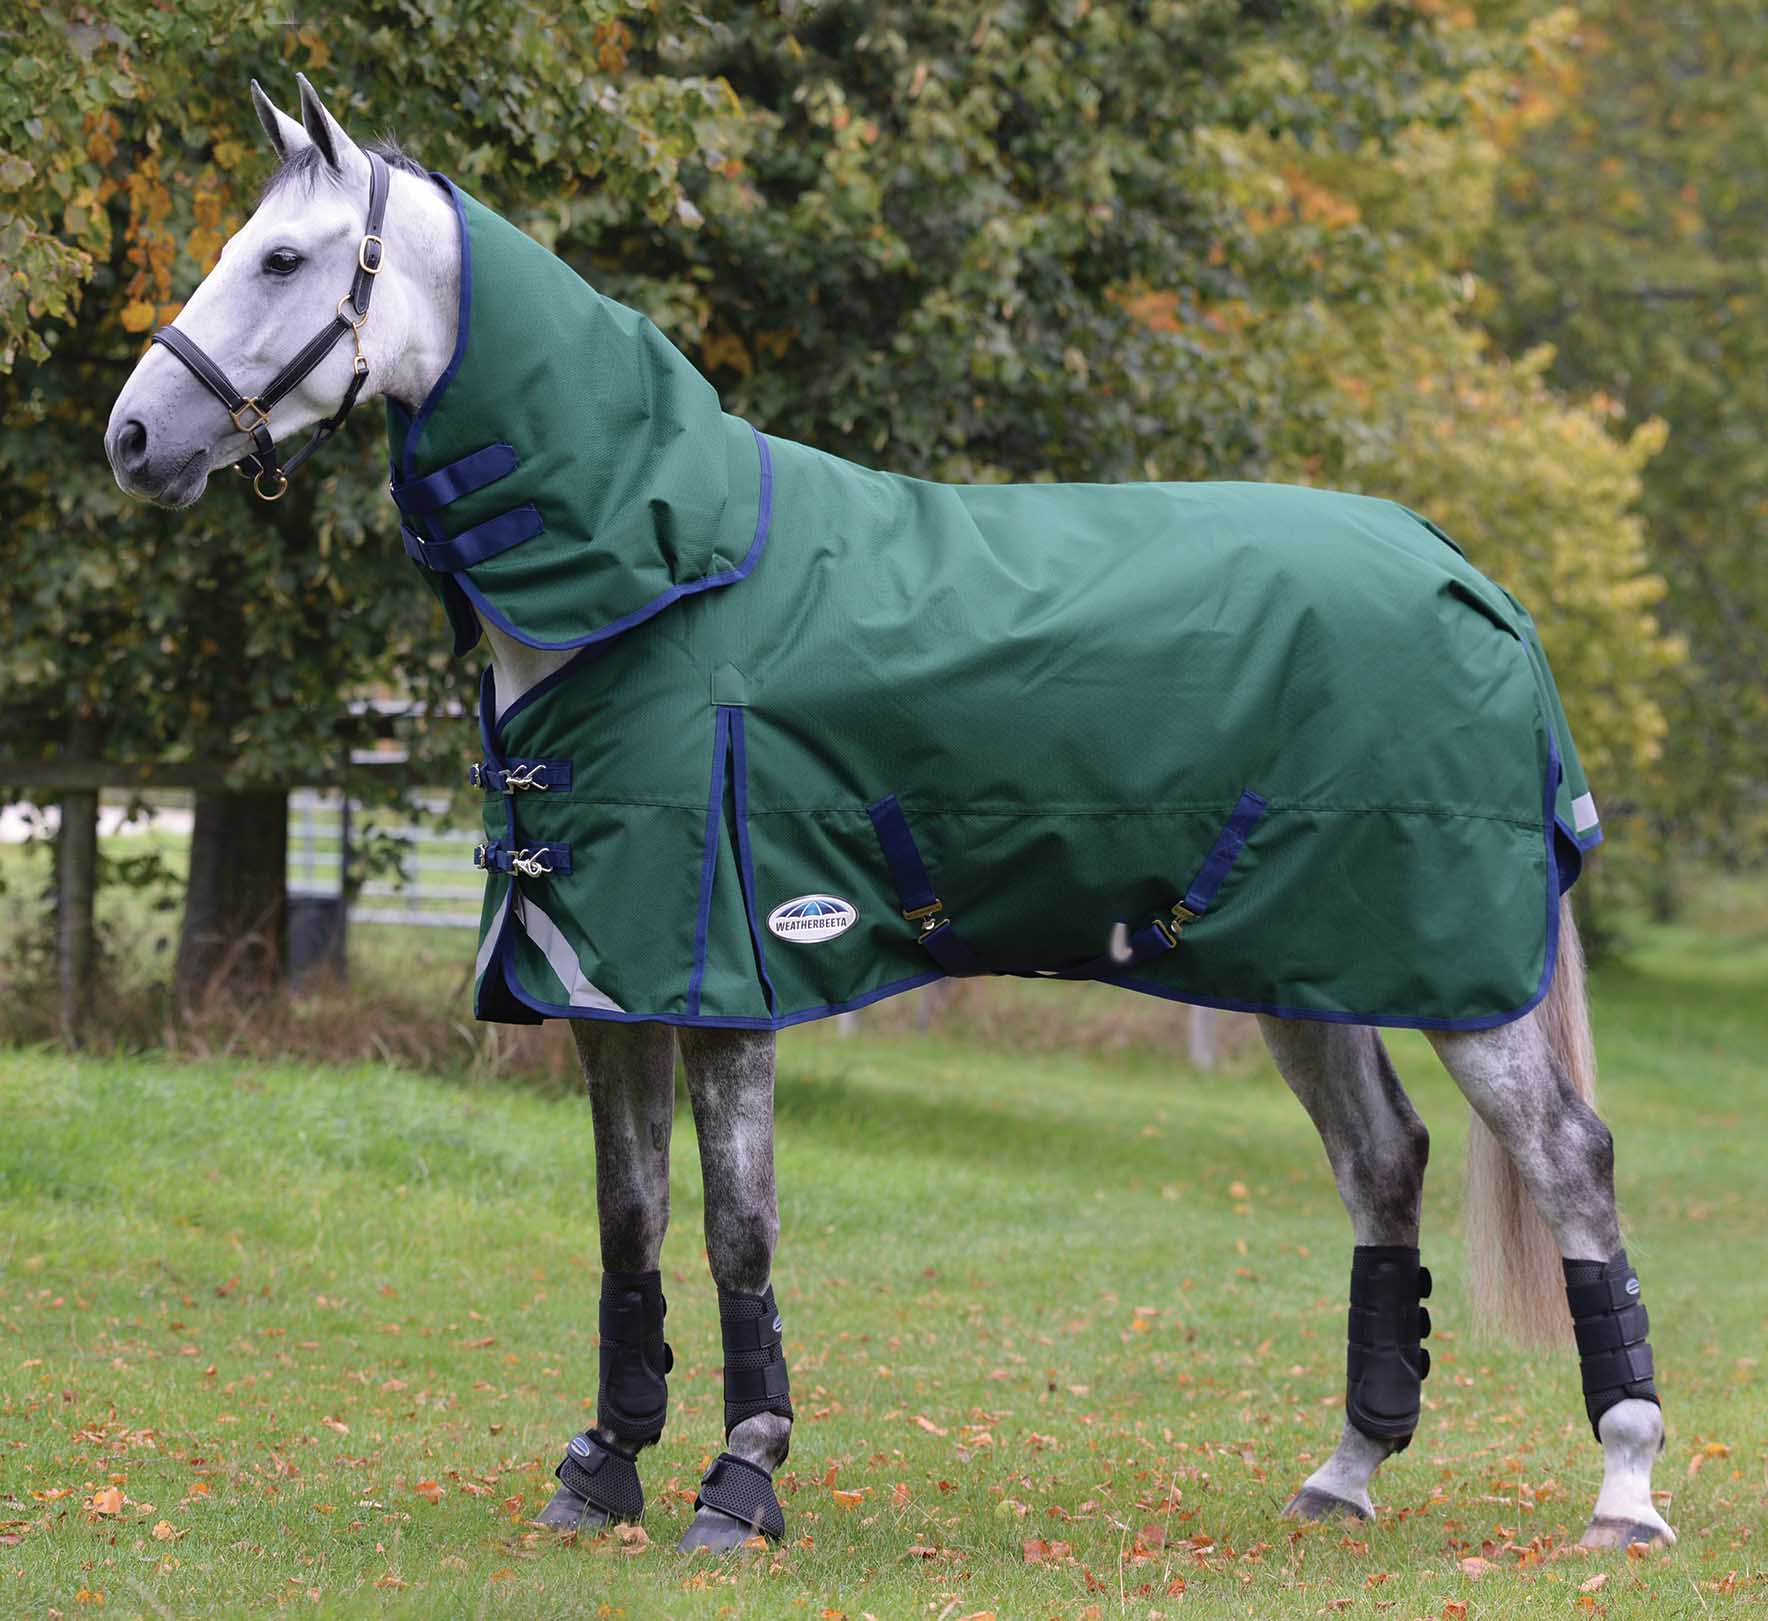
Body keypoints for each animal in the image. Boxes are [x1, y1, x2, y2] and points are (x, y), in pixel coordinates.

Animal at [104, 76, 1671, 1555]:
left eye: (283, 257)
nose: (133, 436)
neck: (659, 578)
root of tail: (1468, 572)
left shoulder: (725, 978)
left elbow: (737, 1232)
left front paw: (740, 1484)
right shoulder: (608, 985)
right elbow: (630, 1225)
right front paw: (602, 1471)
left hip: (1453, 978)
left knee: (1571, 1163)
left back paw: (1627, 1489)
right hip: (1303, 964)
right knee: (1382, 1164)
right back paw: (1345, 1473)